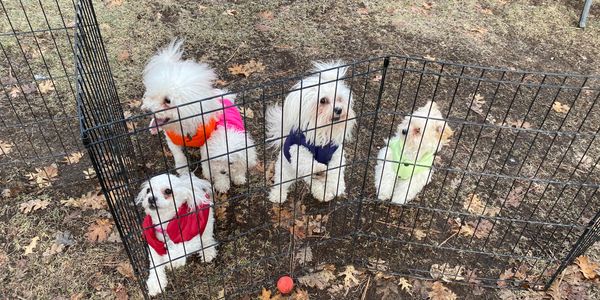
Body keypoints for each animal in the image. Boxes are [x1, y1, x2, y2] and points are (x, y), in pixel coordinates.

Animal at [142, 39, 256, 192]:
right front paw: (183, 171)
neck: (184, 127)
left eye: (167, 101)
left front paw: (210, 173)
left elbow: (205, 159)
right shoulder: (172, 140)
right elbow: (179, 156)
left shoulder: (206, 141)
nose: (147, 110)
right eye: (152, 96)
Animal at [264, 61, 354, 203]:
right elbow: (307, 161)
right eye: (323, 100)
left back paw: (324, 193)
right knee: (283, 182)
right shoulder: (297, 149)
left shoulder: (336, 153)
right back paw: (278, 195)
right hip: (286, 170)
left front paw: (337, 186)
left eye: (340, 99)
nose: (339, 109)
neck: (323, 130)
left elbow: (336, 171)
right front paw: (318, 168)